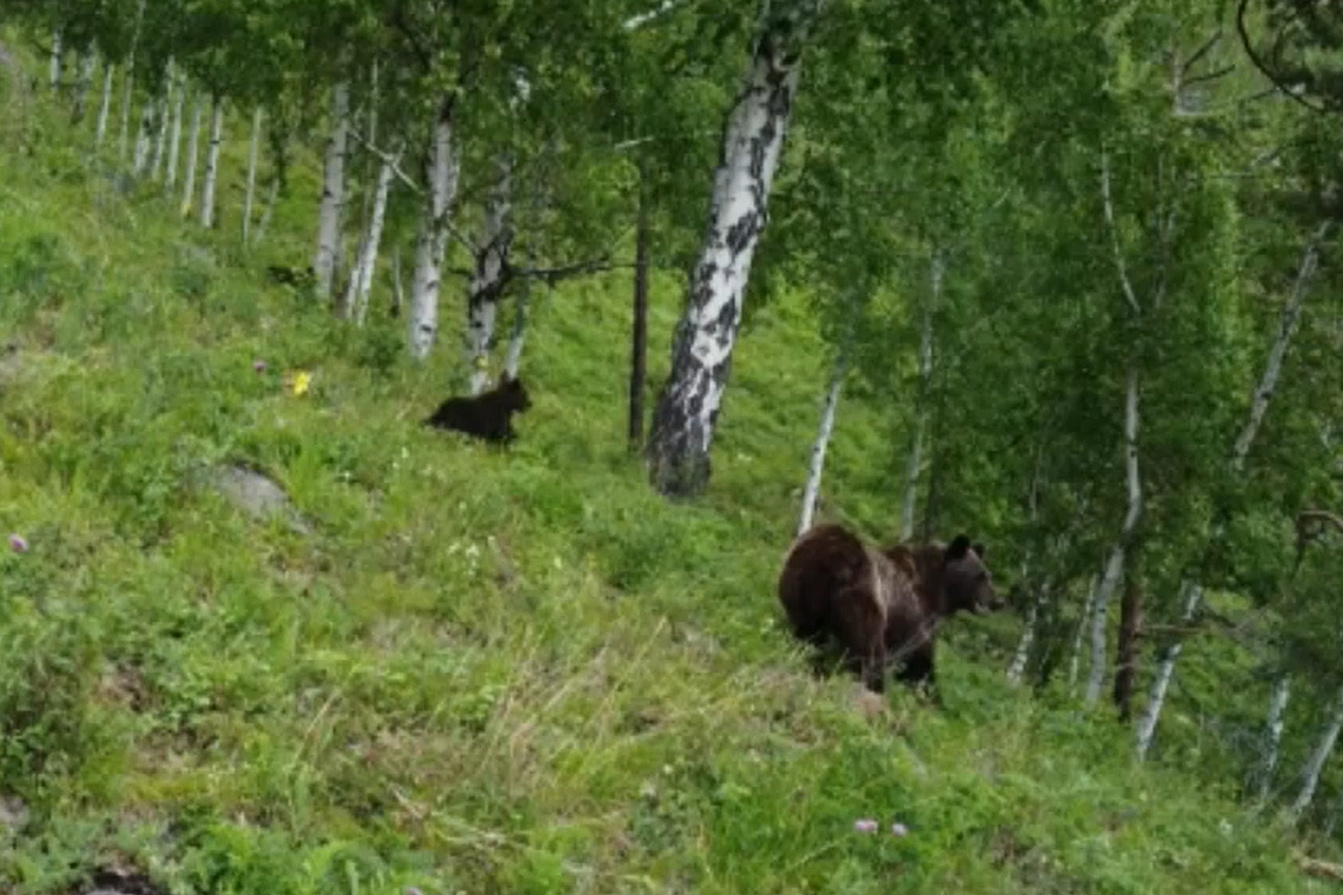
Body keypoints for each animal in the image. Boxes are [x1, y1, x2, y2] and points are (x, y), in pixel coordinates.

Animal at [778, 524, 999, 698]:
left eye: (988, 575)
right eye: (980, 576)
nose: (998, 601)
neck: (937, 591)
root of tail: (831, 556)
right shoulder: (912, 613)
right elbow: (919, 660)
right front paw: (933, 696)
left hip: (800, 587)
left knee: (808, 633)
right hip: (865, 598)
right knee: (868, 647)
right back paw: (876, 686)